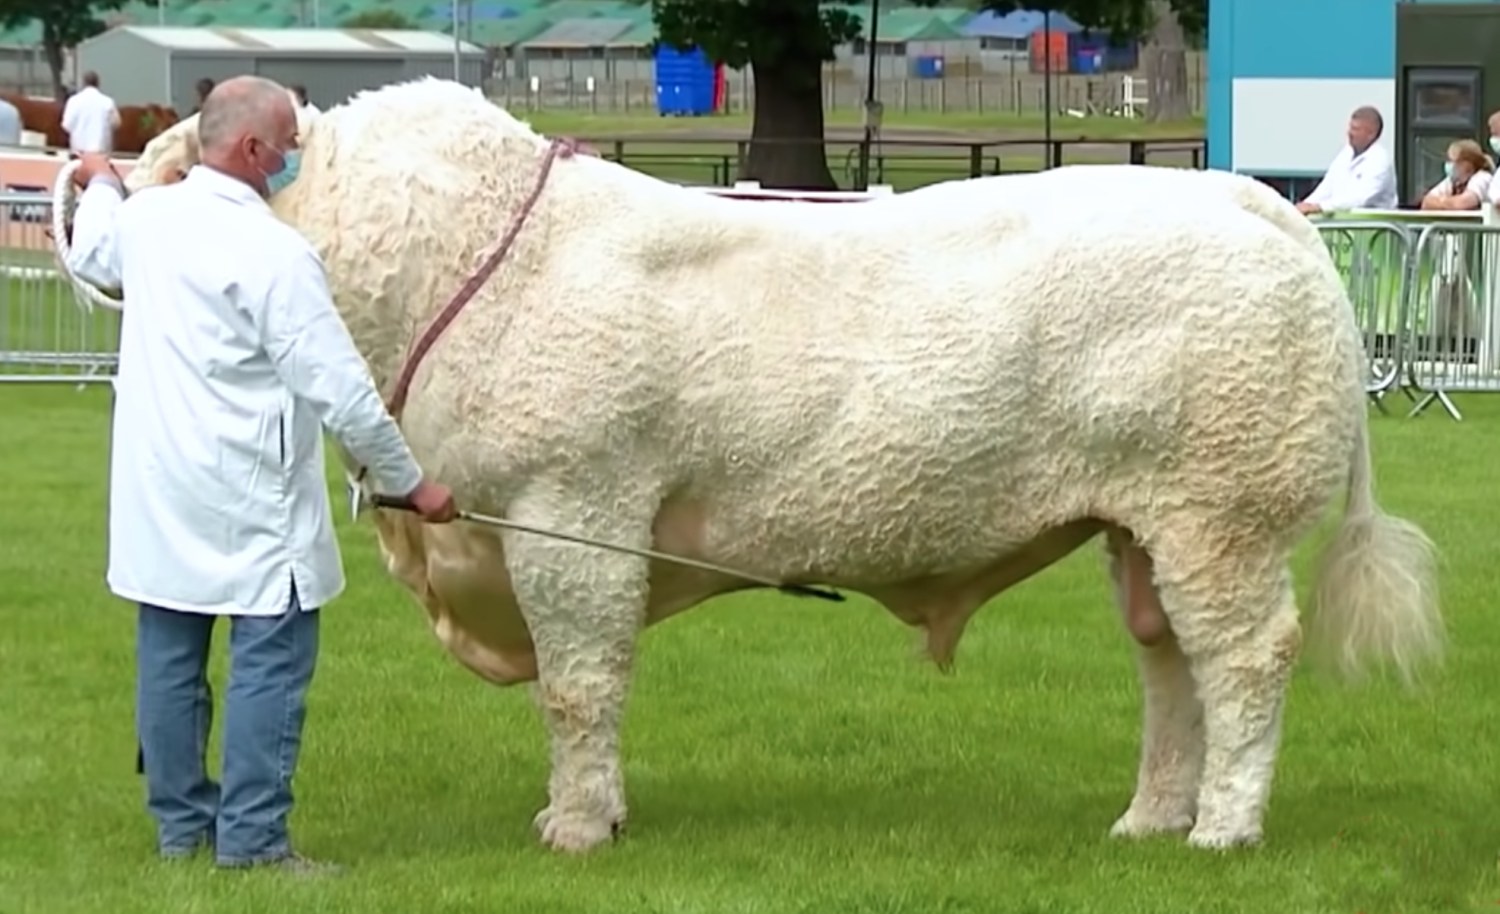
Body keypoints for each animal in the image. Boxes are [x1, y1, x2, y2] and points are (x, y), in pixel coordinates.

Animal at [64, 78, 1446, 852]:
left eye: (156, 173)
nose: (83, 230)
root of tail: (1243, 201)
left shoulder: (572, 509)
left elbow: (582, 686)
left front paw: (578, 825)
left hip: (1222, 512)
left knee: (1245, 658)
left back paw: (1224, 826)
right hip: (1145, 521)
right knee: (1171, 667)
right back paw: (1153, 816)